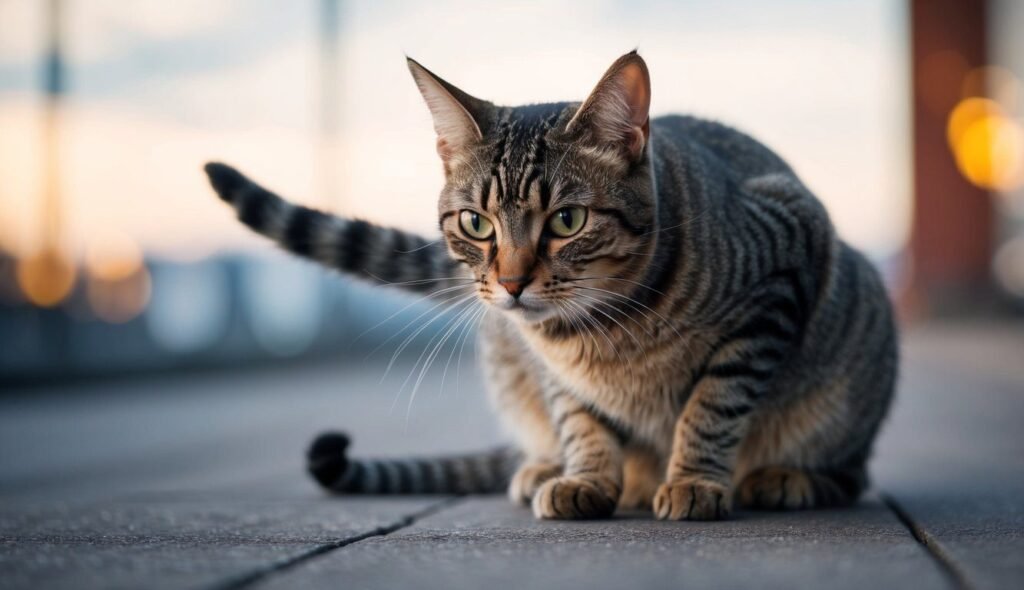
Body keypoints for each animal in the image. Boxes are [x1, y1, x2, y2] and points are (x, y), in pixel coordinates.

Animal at [205, 51, 897, 520]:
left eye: (567, 221)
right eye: (476, 223)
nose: (512, 282)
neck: (605, 330)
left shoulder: (781, 268)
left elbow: (713, 403)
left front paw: (694, 480)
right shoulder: (548, 363)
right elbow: (578, 417)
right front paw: (585, 476)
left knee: (853, 473)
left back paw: (785, 477)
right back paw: (543, 468)